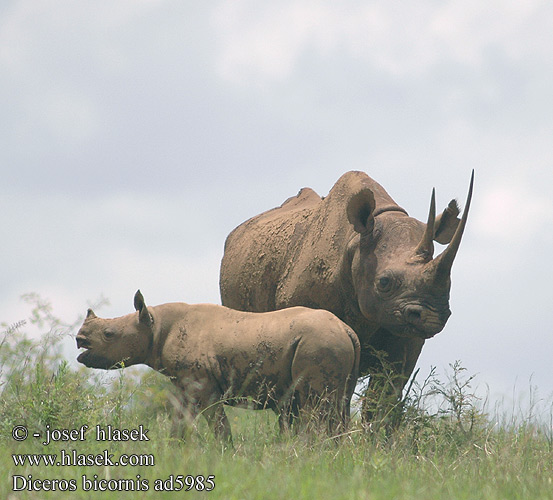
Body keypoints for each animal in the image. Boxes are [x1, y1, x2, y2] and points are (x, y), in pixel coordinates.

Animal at [75, 290, 360, 442]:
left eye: (109, 334)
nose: (79, 339)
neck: (155, 325)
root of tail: (346, 329)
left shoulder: (204, 385)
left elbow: (218, 423)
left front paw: (226, 453)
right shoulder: (185, 384)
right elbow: (179, 421)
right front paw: (174, 451)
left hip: (319, 343)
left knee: (315, 405)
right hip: (331, 343)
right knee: (339, 406)